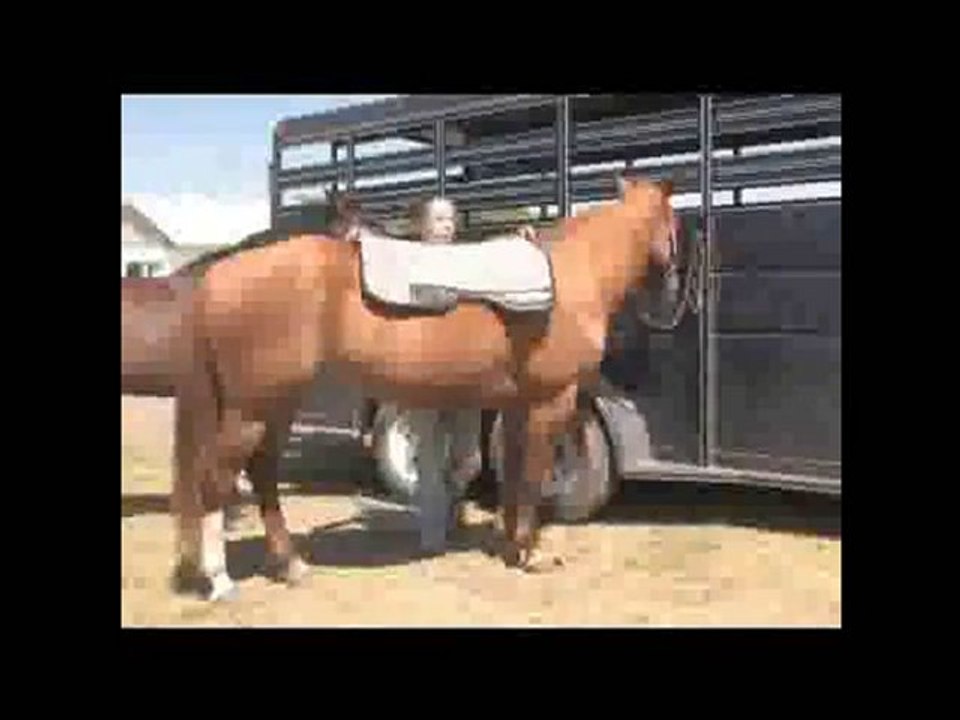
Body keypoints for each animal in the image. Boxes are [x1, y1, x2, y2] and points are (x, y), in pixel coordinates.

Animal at [171, 174, 679, 601]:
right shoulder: (551, 400)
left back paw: (291, 564)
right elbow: (534, 474)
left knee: (262, 474)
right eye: (674, 224)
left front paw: (508, 541)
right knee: (217, 480)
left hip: (277, 403)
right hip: (251, 409)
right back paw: (220, 580)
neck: (572, 273)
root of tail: (219, 275)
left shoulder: (517, 404)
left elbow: (515, 473)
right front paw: (531, 552)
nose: (672, 291)